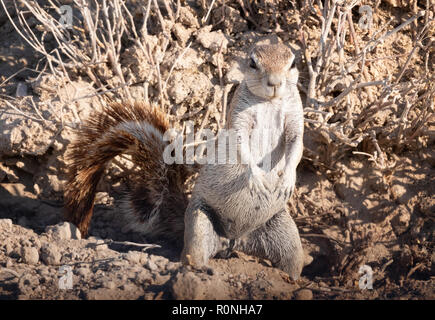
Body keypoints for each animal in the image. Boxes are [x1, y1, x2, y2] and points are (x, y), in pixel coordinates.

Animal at [63, 42, 304, 278]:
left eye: (293, 63)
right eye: (253, 63)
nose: (275, 82)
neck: (269, 102)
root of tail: (234, 240)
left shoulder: (295, 119)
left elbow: (296, 145)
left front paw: (288, 179)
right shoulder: (239, 119)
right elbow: (242, 146)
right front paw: (256, 178)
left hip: (283, 232)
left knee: (292, 259)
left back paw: (290, 278)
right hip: (200, 224)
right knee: (191, 255)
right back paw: (200, 270)